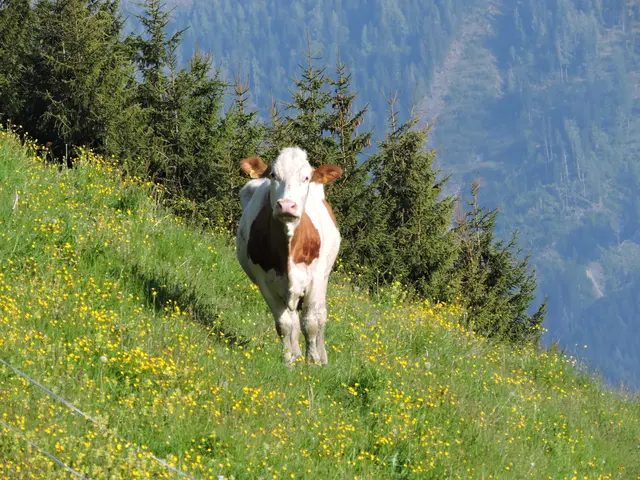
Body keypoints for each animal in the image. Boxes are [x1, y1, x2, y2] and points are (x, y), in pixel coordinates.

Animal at [236, 147, 342, 366]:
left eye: (306, 177)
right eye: (273, 175)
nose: (286, 205)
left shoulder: (316, 279)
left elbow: (311, 322)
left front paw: (313, 361)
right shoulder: (264, 282)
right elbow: (285, 324)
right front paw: (289, 361)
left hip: (323, 278)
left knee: (321, 317)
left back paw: (322, 356)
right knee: (293, 320)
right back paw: (297, 354)